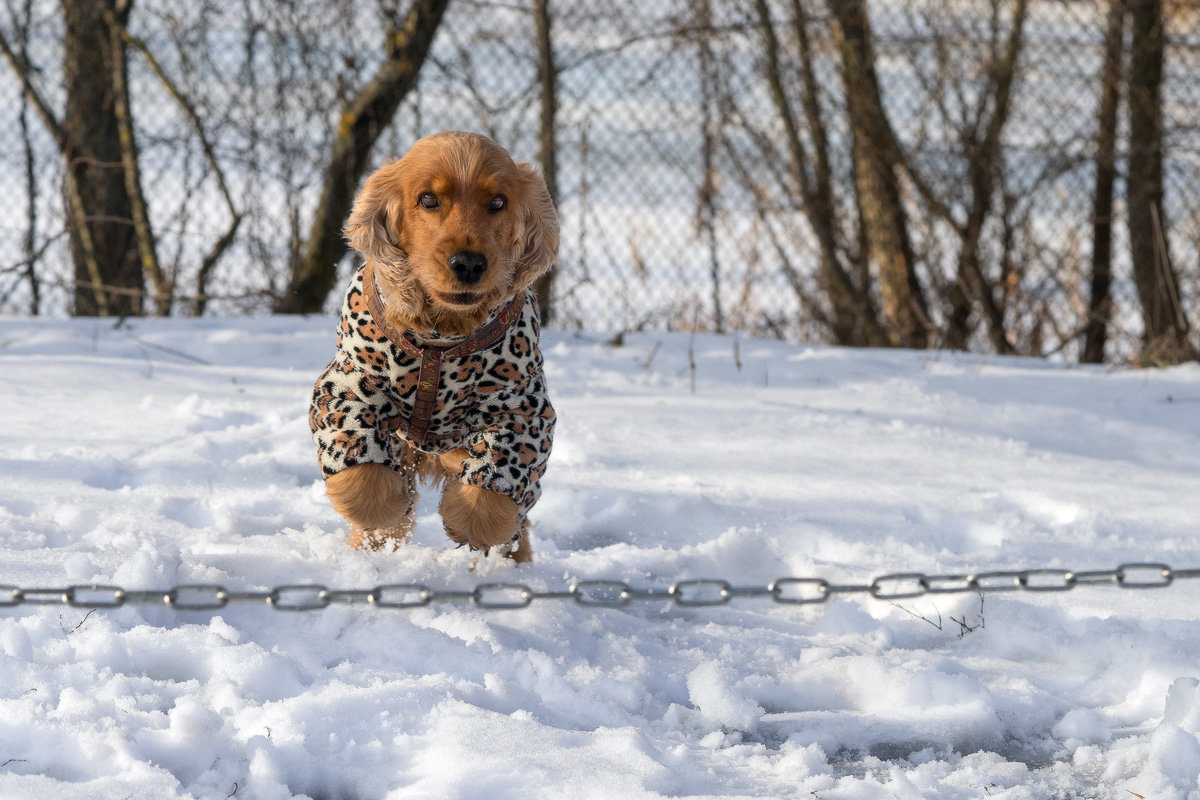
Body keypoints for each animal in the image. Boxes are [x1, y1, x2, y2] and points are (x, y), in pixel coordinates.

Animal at [307, 131, 554, 561]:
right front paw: (388, 509)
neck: (442, 335)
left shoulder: (522, 409)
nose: (468, 263)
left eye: (498, 202)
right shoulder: (348, 385)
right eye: (427, 199)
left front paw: (464, 522)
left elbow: (492, 493)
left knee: (516, 522)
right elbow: (366, 476)